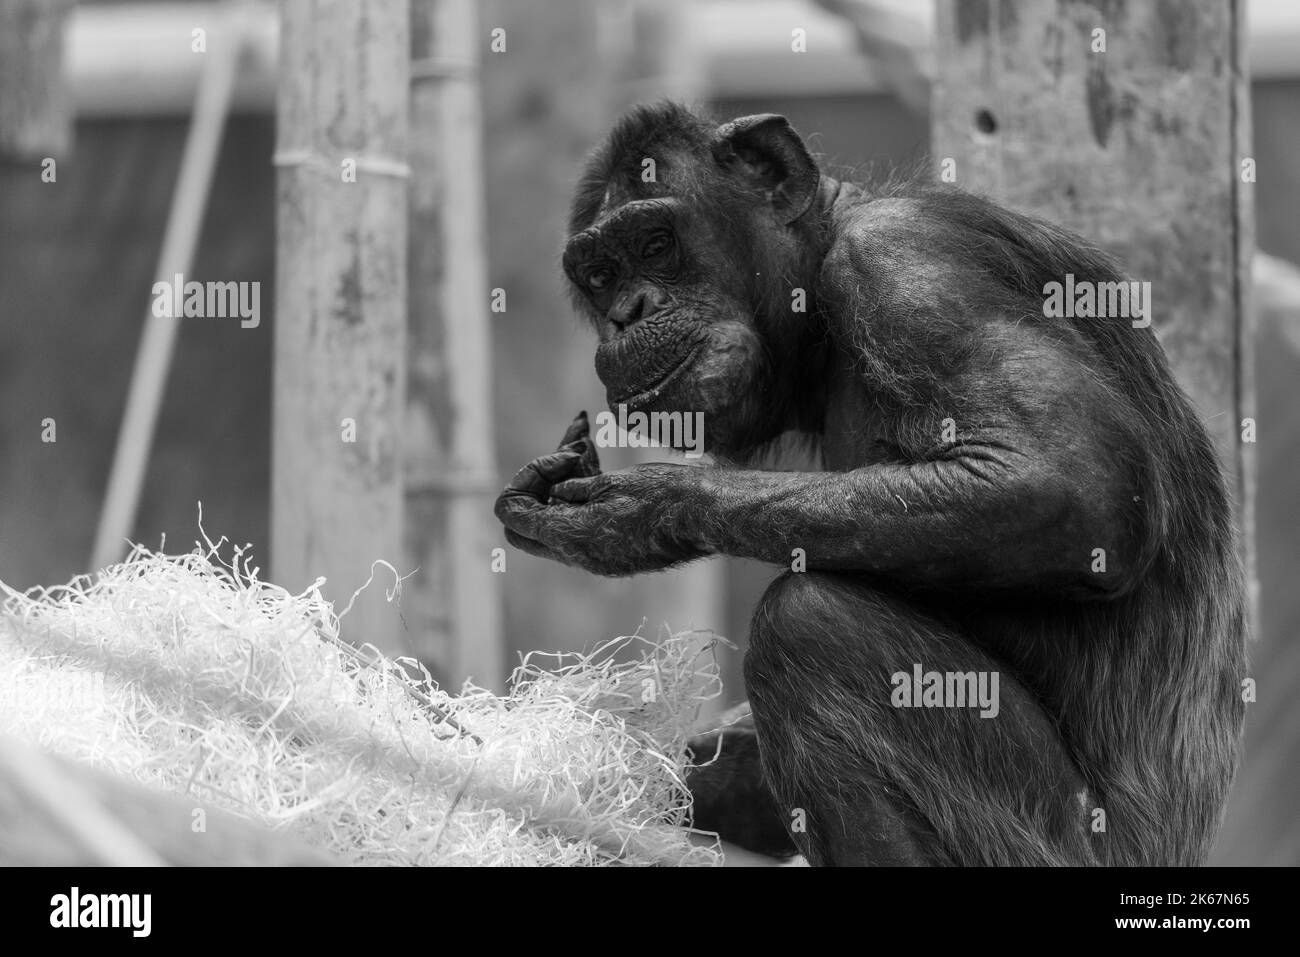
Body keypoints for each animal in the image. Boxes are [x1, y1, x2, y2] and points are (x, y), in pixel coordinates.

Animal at [493, 104, 1248, 868]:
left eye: (655, 243)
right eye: (600, 274)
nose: (629, 311)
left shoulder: (904, 266)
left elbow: (1071, 481)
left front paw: (637, 514)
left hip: (1056, 839)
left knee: (810, 627)